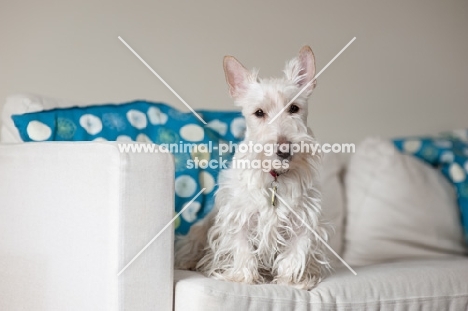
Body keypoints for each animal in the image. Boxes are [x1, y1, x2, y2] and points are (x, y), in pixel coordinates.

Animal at [174, 45, 330, 290]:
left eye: (294, 108)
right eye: (259, 113)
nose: (284, 150)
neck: (275, 176)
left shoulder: (303, 221)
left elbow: (295, 253)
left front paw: (291, 282)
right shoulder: (240, 218)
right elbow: (242, 249)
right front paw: (242, 278)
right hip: (198, 232)